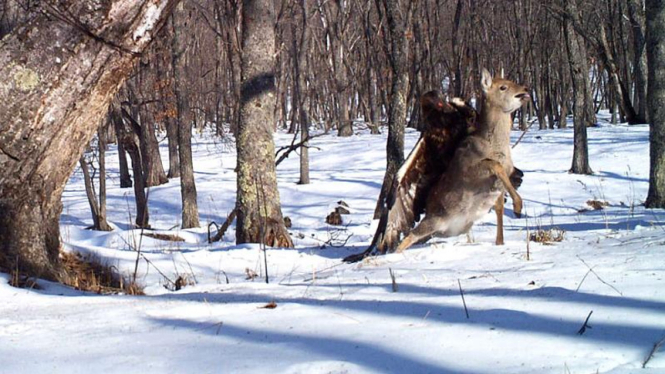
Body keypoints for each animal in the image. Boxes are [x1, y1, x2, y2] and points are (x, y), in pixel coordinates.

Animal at [394, 68, 528, 253]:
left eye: (511, 81)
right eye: (503, 87)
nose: (526, 89)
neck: (495, 146)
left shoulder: (502, 181)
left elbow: (499, 207)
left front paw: (501, 241)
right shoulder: (470, 170)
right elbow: (494, 164)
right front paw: (518, 207)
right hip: (433, 220)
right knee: (409, 237)